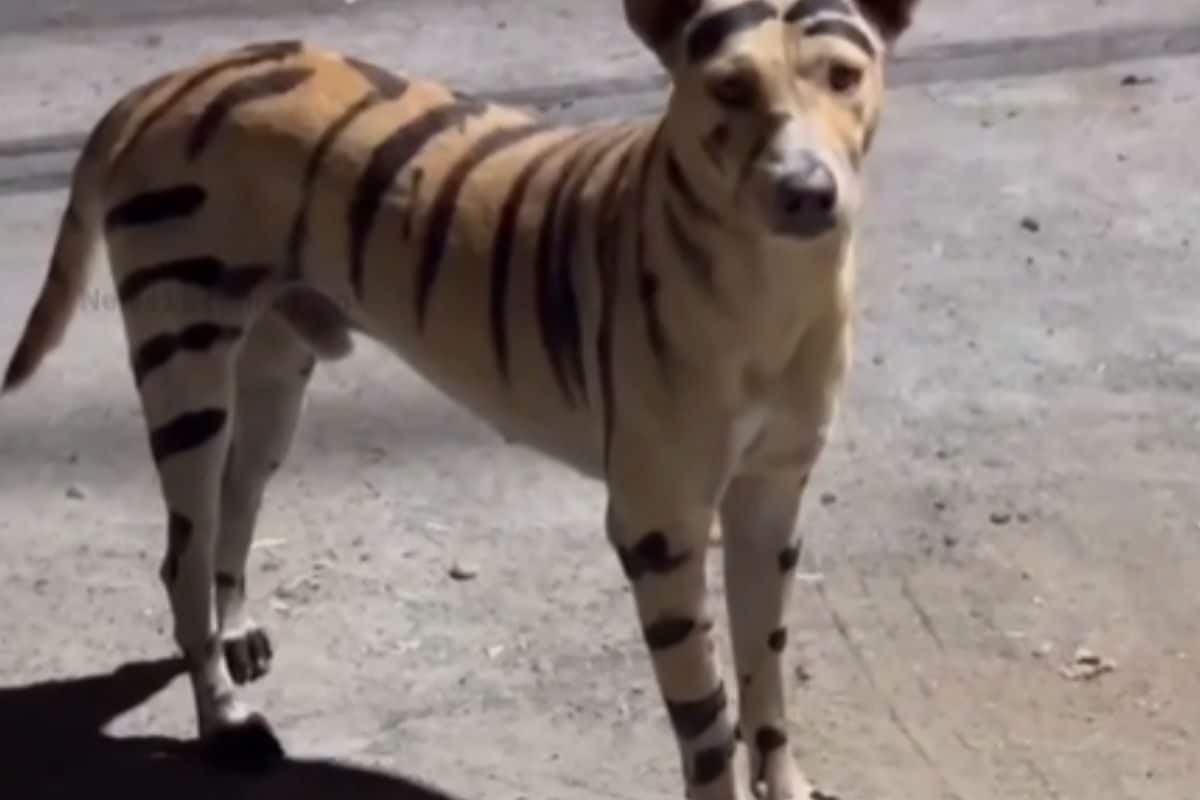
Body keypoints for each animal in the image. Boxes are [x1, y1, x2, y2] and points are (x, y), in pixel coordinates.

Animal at [3, 0, 920, 796]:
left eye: (843, 76)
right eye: (729, 87)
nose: (807, 192)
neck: (772, 289)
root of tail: (160, 85)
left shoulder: (771, 502)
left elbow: (766, 682)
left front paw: (786, 782)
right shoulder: (660, 528)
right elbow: (707, 717)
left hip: (272, 380)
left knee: (235, 503)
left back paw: (232, 640)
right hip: (185, 373)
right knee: (182, 557)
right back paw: (224, 719)